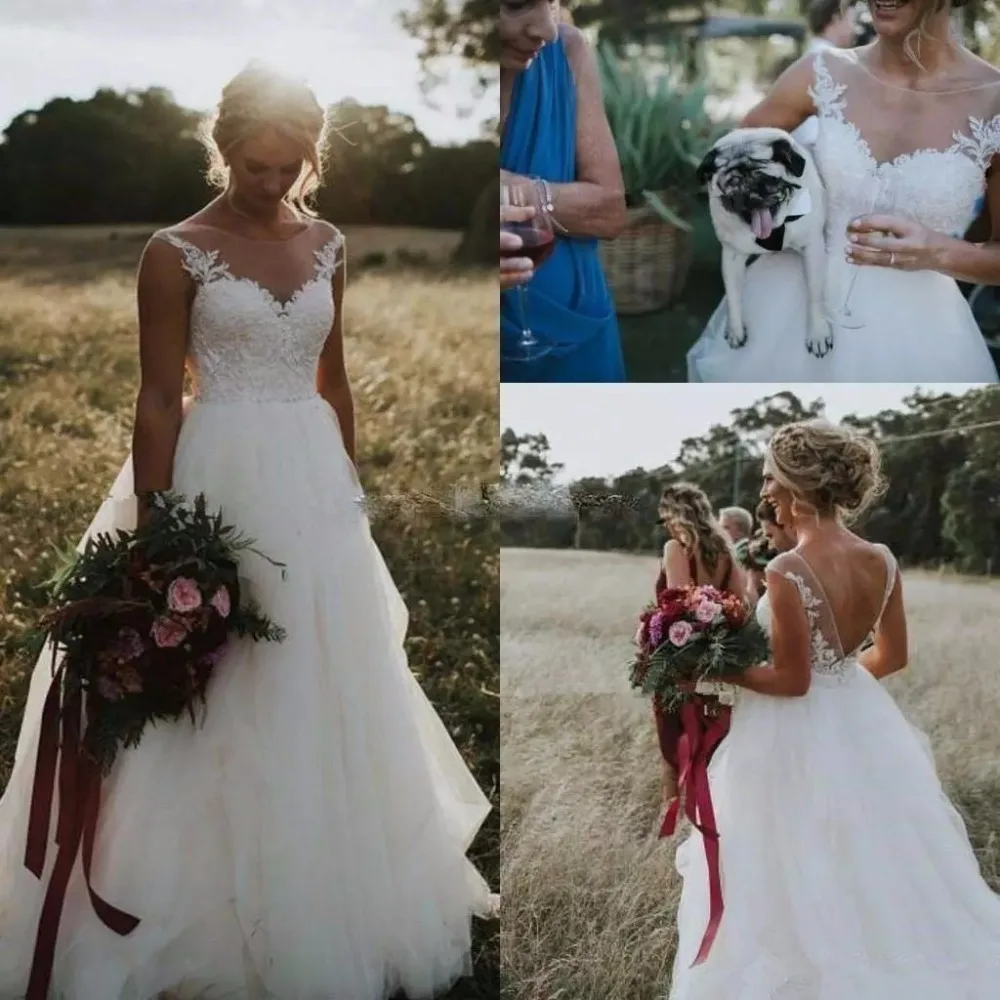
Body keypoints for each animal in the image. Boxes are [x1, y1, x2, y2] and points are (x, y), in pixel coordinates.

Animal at [700, 127, 832, 358]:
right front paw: (735, 328)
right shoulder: (732, 255)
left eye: (767, 180)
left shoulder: (813, 247)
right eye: (732, 184)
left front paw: (817, 332)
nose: (751, 196)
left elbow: (815, 295)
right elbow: (733, 295)